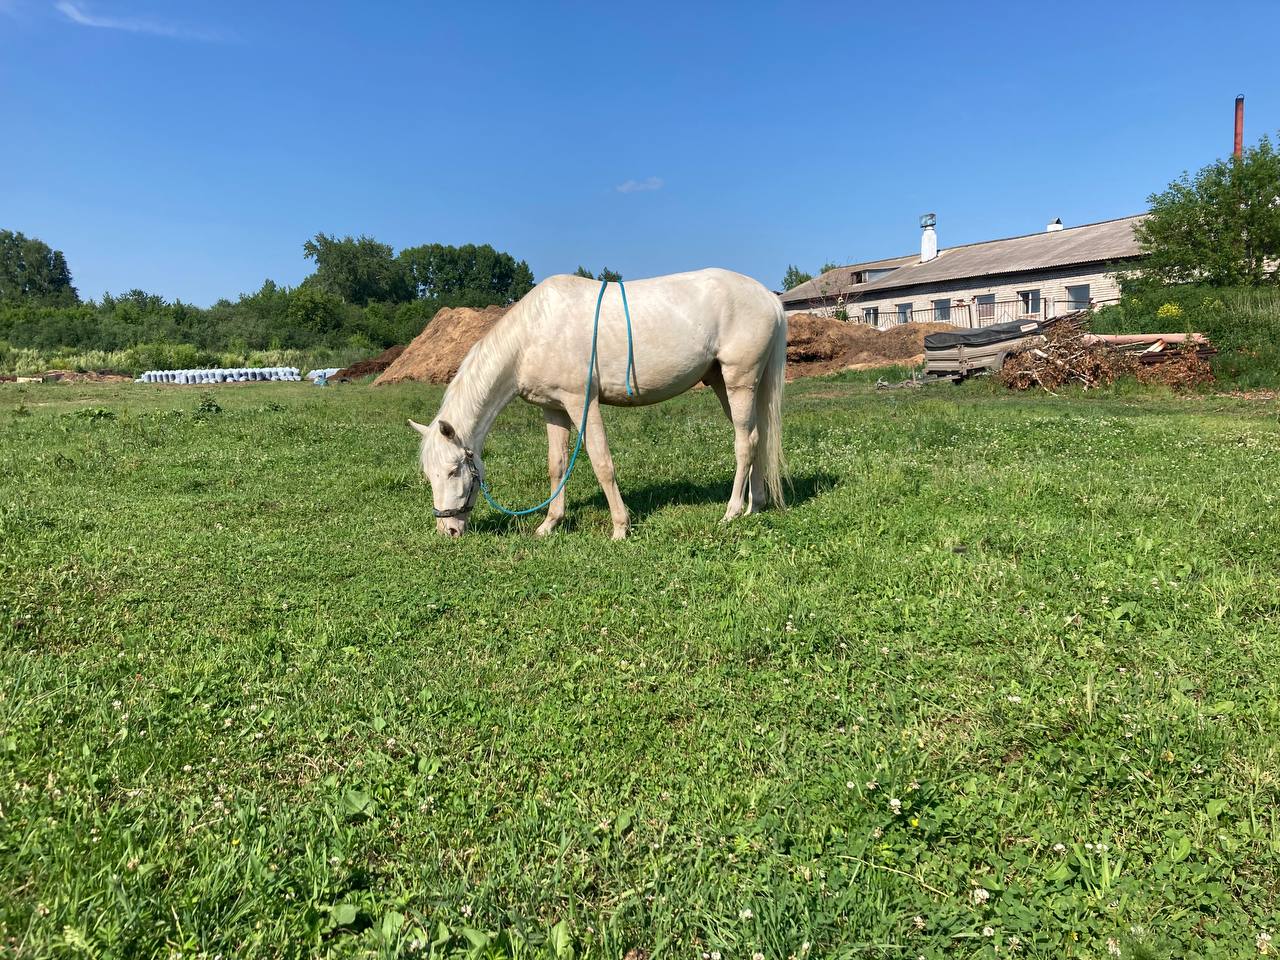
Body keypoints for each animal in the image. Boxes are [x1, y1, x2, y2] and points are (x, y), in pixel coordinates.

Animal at [409, 268, 788, 542]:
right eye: (429, 474)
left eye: (453, 471)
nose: (448, 530)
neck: (532, 334)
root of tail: (767, 297)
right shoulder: (554, 409)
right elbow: (557, 466)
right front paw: (549, 524)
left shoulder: (582, 402)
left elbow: (601, 462)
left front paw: (620, 527)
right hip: (725, 383)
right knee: (757, 438)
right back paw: (756, 505)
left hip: (739, 380)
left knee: (744, 443)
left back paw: (732, 511)